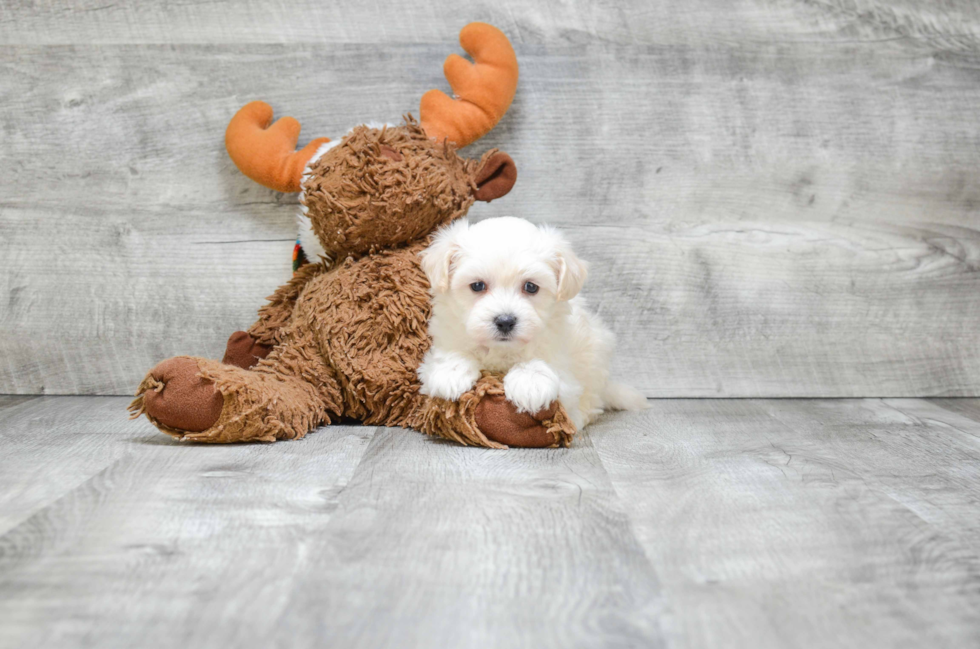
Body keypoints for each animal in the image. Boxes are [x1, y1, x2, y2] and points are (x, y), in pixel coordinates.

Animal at [418, 216, 648, 430]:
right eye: (477, 286)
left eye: (530, 287)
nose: (505, 321)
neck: (501, 350)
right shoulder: (447, 333)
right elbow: (452, 352)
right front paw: (451, 373)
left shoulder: (562, 362)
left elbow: (540, 363)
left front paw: (530, 383)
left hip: (595, 358)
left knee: (590, 402)